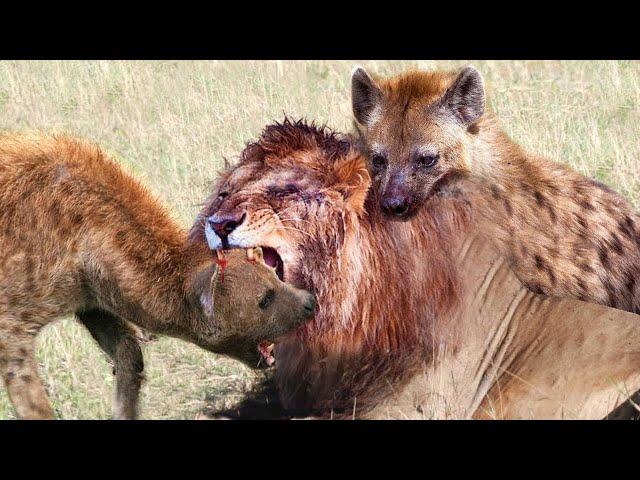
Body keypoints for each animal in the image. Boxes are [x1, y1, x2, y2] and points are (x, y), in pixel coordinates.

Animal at [0, 132, 316, 420]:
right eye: (265, 299)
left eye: (277, 277)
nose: (310, 301)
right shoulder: (13, 321)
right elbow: (34, 403)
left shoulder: (91, 297)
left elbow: (129, 353)